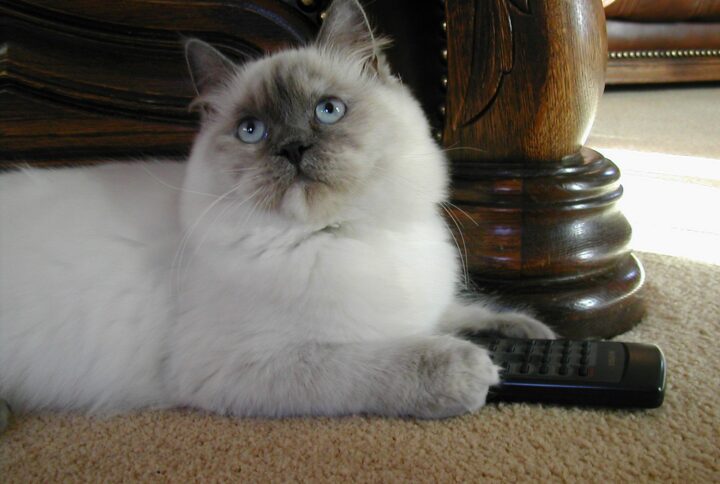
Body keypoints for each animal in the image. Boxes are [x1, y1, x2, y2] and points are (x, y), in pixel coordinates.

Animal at [0, 0, 556, 418]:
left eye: (328, 111)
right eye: (252, 130)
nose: (292, 148)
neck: (342, 232)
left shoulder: (424, 303)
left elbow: (461, 311)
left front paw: (533, 334)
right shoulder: (250, 363)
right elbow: (379, 360)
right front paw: (472, 369)